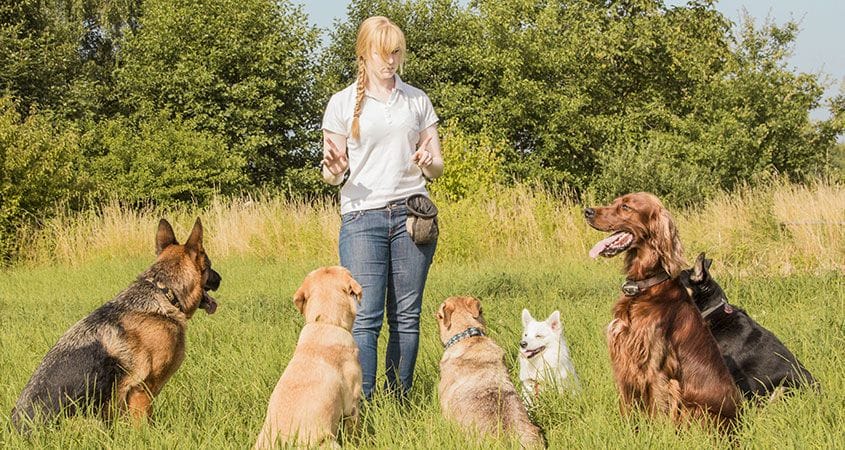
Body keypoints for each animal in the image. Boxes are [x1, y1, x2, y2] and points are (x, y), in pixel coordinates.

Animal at [11, 220, 221, 430]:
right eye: (209, 265)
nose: (220, 279)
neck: (164, 293)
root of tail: (17, 430)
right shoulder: (142, 389)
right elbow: (144, 426)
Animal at [584, 192, 736, 428]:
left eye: (626, 207)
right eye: (615, 201)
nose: (587, 211)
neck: (646, 287)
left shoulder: (657, 368)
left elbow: (658, 415)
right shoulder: (623, 359)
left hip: (697, 410)